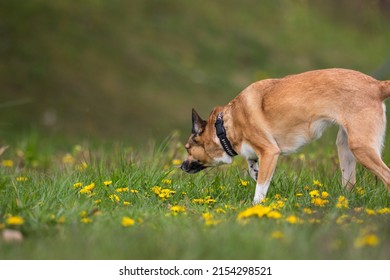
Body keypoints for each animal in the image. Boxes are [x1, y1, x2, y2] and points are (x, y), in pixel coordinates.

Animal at [181, 68, 390, 203]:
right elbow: (253, 168)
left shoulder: (269, 151)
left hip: (361, 148)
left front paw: (256, 208)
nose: (181, 166)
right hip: (345, 148)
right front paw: (254, 172)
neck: (224, 126)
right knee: (350, 184)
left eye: (188, 149)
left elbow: (260, 189)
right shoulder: (258, 155)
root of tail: (377, 85)